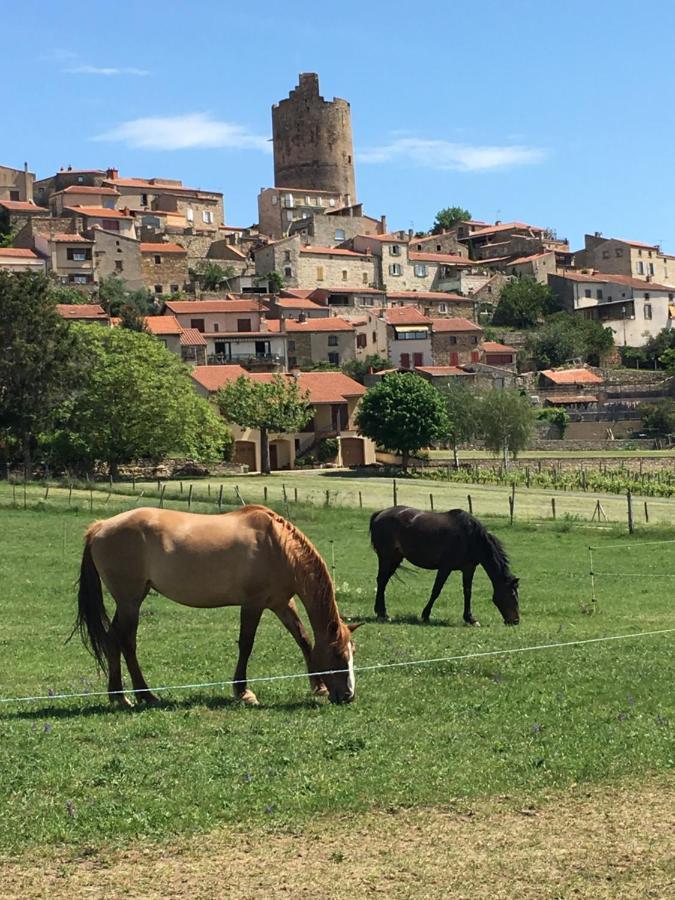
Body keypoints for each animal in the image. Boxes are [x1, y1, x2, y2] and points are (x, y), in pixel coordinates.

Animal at [74, 502, 360, 708]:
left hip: (130, 601)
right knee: (123, 641)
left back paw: (127, 695)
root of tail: (100, 526)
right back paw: (136, 696)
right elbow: (246, 645)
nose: (348, 695)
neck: (278, 547)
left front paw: (318, 687)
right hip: (130, 601)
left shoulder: (282, 603)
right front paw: (243, 692)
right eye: (337, 654)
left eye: (352, 652)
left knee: (116, 641)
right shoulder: (253, 604)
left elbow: (303, 639)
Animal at [370, 506, 524, 624]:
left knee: (383, 582)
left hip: (396, 558)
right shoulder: (445, 568)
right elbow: (436, 591)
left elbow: (467, 592)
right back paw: (383, 614)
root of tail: (380, 513)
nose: (515, 621)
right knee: (381, 581)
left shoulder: (469, 568)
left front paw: (470, 618)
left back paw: (381, 612)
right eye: (512, 594)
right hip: (386, 557)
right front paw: (425, 615)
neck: (470, 537)